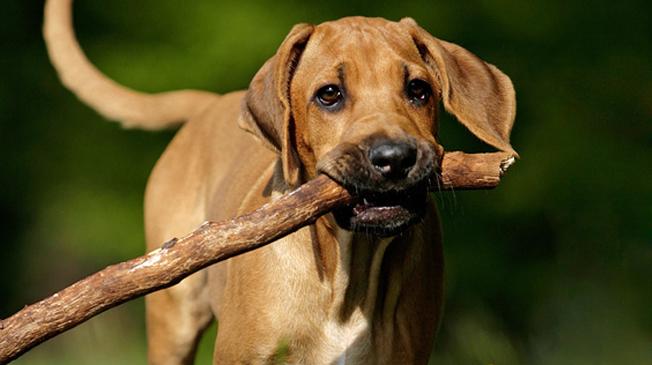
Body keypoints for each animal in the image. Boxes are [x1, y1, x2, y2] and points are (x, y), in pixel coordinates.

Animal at [43, 1, 516, 362]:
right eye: (329, 94)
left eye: (419, 90)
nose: (395, 159)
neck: (345, 276)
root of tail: (210, 103)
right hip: (172, 317)